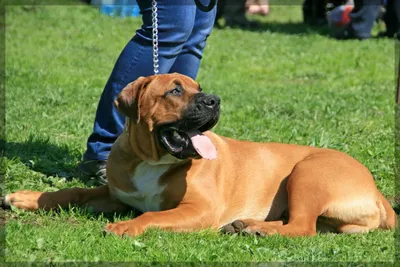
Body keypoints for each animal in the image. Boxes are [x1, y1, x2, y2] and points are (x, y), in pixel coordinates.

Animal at [4, 74, 398, 238]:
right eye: (175, 91)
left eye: (201, 89)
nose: (214, 100)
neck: (153, 159)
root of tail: (377, 191)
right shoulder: (116, 193)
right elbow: (74, 192)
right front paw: (26, 198)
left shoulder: (200, 209)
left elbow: (153, 215)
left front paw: (127, 226)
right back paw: (246, 225)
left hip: (308, 172)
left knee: (303, 227)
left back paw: (256, 229)